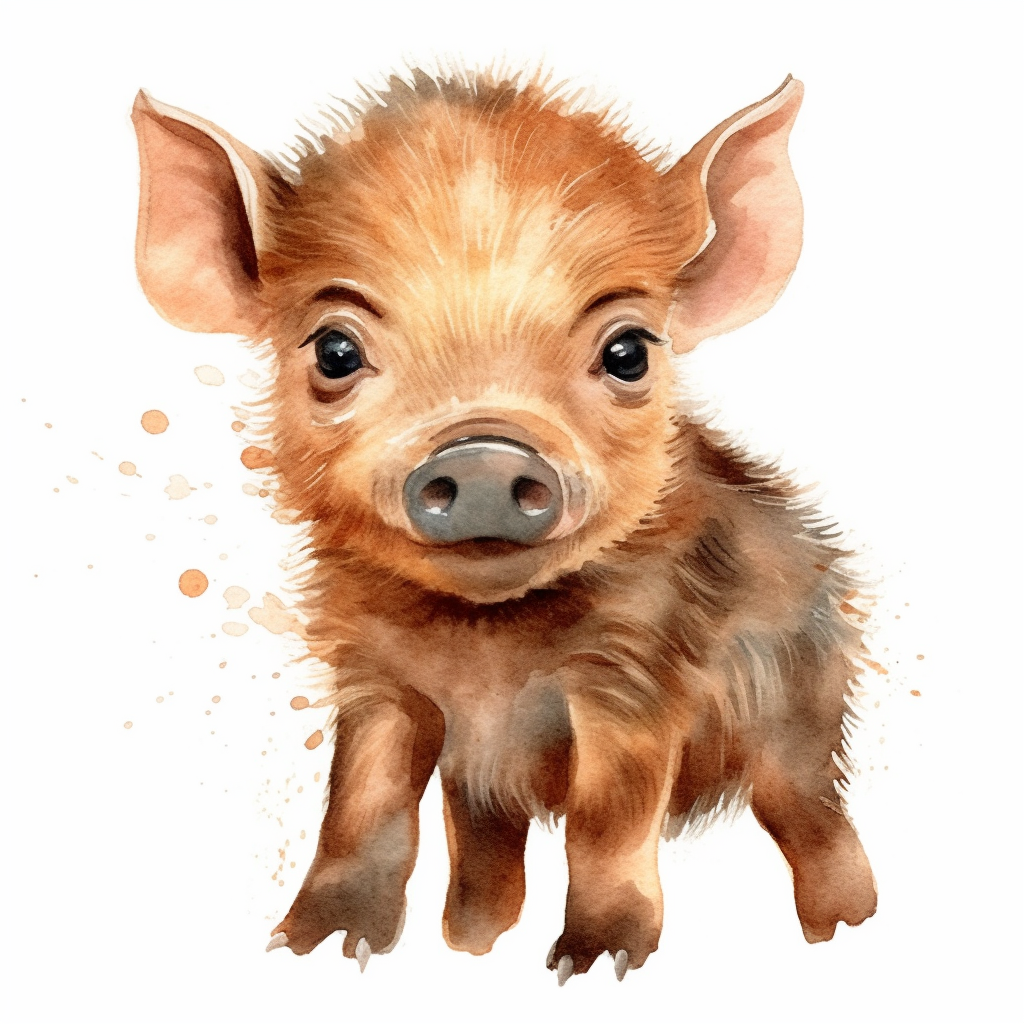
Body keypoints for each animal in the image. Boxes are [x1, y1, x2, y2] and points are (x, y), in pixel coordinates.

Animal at [131, 68, 877, 982]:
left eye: (629, 351)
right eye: (334, 350)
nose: (484, 454)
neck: (484, 647)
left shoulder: (634, 676)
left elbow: (607, 820)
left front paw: (594, 964)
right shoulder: (376, 679)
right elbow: (363, 805)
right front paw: (314, 948)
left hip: (803, 714)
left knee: (816, 821)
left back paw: (843, 930)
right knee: (484, 845)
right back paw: (472, 944)